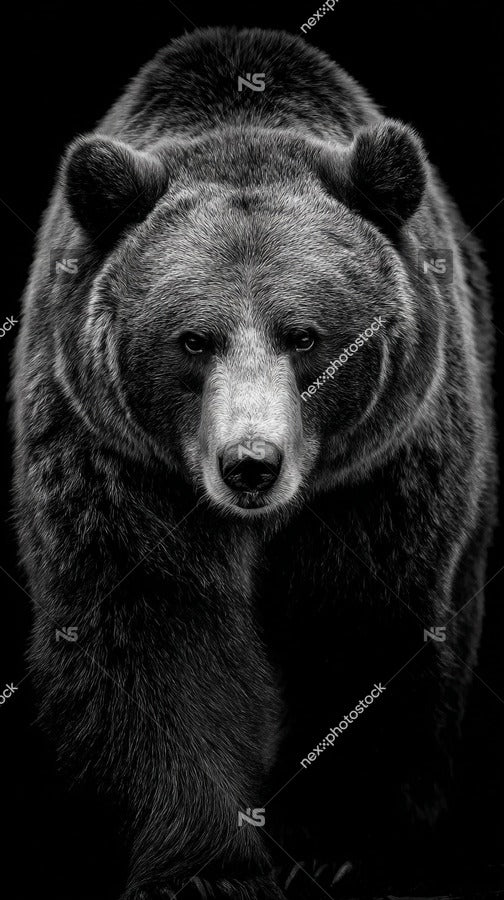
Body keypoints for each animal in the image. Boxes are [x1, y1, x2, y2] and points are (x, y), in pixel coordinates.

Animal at [11, 24, 497, 900]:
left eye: (304, 335)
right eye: (193, 340)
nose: (250, 464)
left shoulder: (381, 478)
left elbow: (361, 627)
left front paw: (340, 844)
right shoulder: (117, 468)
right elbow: (154, 637)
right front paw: (206, 868)